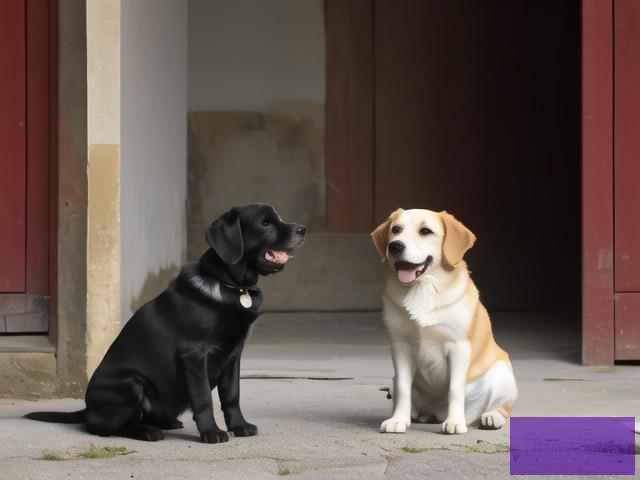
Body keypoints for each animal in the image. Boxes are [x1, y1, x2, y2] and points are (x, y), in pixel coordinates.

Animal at [29, 202, 308, 442]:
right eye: (265, 223)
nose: (303, 229)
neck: (231, 286)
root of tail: (87, 408)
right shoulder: (193, 354)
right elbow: (203, 397)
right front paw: (211, 433)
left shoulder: (233, 353)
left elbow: (231, 396)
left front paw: (239, 426)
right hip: (131, 384)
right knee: (105, 427)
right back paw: (147, 432)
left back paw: (166, 423)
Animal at [372, 208, 516, 434]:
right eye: (395, 230)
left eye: (425, 231)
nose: (395, 246)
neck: (423, 288)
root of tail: (435, 412)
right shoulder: (401, 346)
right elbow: (403, 388)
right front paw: (398, 420)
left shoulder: (458, 346)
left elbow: (455, 389)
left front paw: (455, 422)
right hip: (395, 382)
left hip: (502, 374)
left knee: (502, 407)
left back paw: (491, 417)